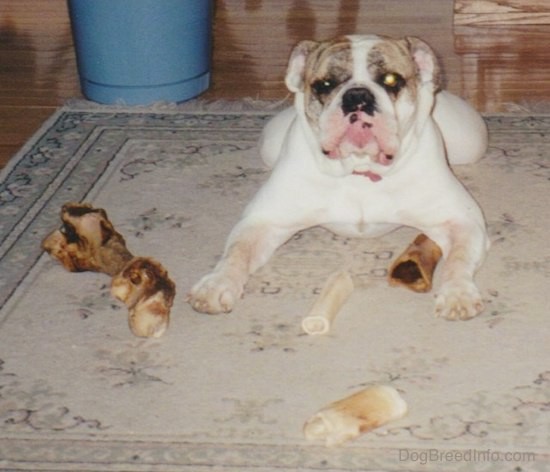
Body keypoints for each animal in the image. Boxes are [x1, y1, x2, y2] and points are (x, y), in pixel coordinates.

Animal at [190, 33, 492, 320]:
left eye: (391, 80)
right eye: (324, 85)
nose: (357, 96)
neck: (358, 169)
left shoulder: (461, 221)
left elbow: (458, 259)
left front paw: (457, 295)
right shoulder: (262, 222)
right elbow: (236, 253)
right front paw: (216, 285)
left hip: (470, 140)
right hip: (269, 144)